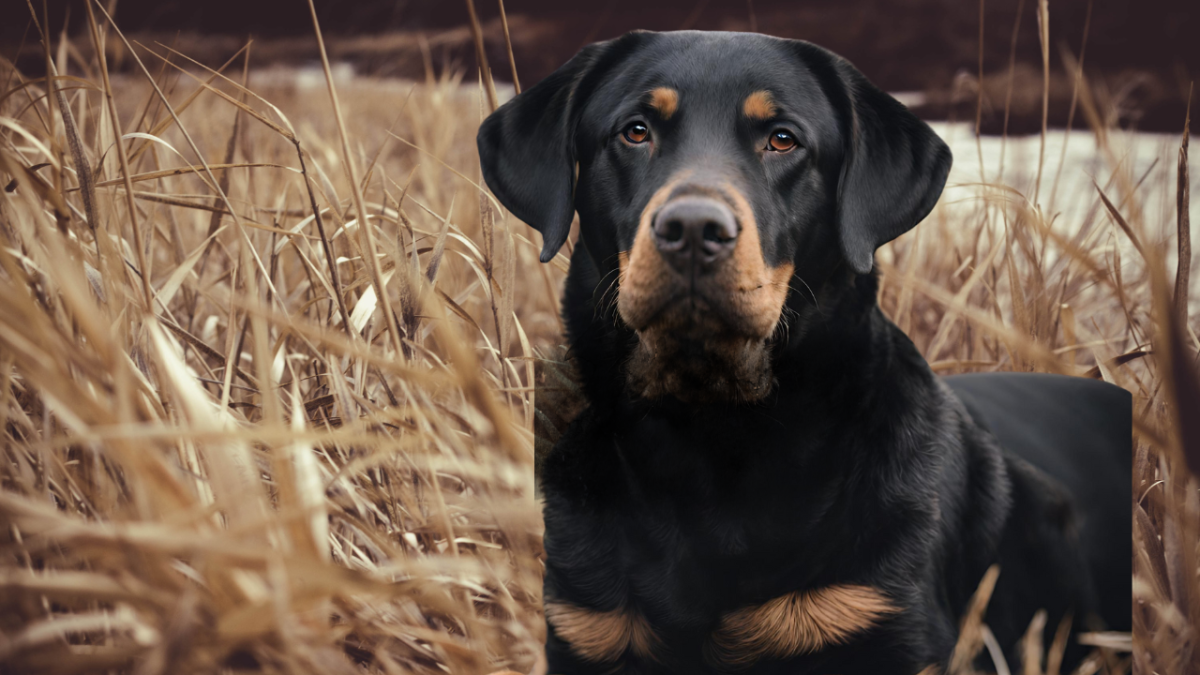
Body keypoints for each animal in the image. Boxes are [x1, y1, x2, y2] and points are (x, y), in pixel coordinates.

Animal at [475, 30, 1123, 672]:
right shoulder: (589, 627)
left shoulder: (882, 616)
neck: (709, 441)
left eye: (782, 139)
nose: (692, 228)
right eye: (635, 131)